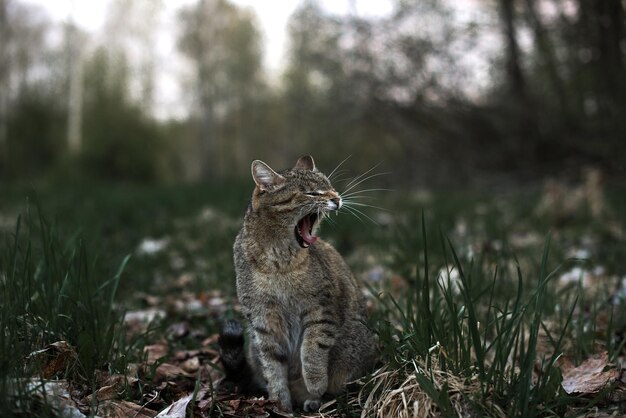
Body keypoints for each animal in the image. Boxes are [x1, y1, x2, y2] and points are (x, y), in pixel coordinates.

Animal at [219, 156, 376, 412]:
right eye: (311, 192)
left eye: (330, 186)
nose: (337, 198)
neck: (279, 263)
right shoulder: (263, 321)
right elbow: (272, 368)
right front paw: (280, 403)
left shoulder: (321, 310)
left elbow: (312, 349)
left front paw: (314, 382)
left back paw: (314, 399)